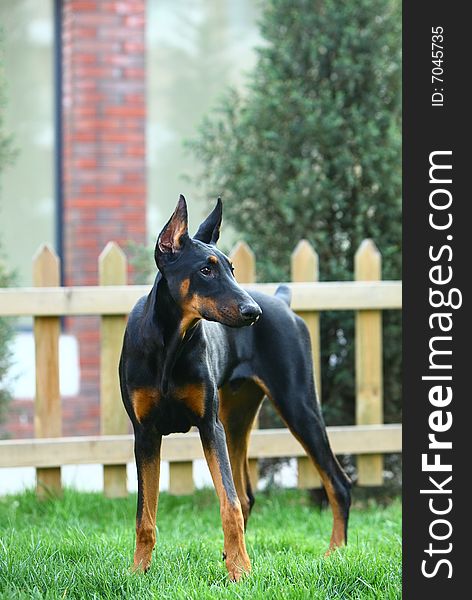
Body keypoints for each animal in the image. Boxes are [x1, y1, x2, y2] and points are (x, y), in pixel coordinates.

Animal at [120, 197, 352, 580]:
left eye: (231, 268)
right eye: (206, 270)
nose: (253, 312)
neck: (170, 343)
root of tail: (282, 302)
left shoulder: (208, 425)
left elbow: (227, 503)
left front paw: (241, 573)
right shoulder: (145, 433)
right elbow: (144, 516)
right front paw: (139, 571)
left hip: (297, 404)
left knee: (338, 483)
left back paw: (334, 554)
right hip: (237, 418)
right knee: (247, 495)